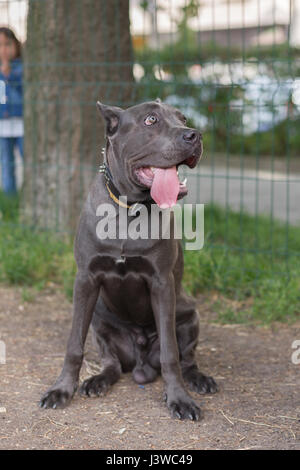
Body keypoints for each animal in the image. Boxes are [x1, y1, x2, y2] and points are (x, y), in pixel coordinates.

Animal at [40, 99, 218, 418]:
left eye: (183, 118)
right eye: (151, 120)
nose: (195, 135)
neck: (129, 208)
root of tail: (140, 363)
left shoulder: (162, 283)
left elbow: (171, 354)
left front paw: (179, 398)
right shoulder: (85, 280)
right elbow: (74, 345)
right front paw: (61, 389)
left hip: (190, 316)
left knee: (186, 358)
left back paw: (198, 379)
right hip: (101, 321)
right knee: (111, 364)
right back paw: (97, 381)